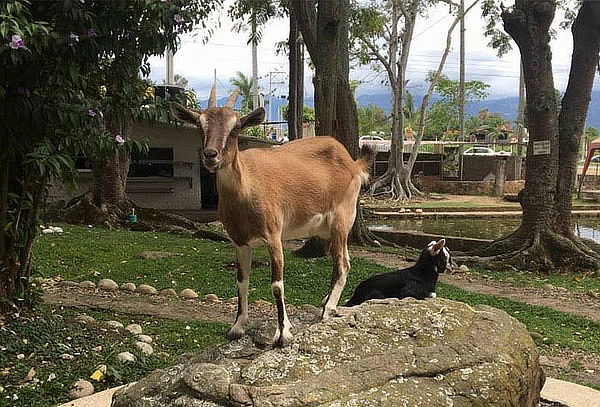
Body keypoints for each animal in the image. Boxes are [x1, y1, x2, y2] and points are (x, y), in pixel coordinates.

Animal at [170, 90, 376, 348]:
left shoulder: (273, 236)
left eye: (236, 127)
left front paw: (282, 334)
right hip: (327, 229)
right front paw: (237, 327)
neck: (246, 187)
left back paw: (328, 309)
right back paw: (325, 301)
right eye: (200, 124)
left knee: (342, 264)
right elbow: (241, 281)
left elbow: (277, 285)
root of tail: (353, 163)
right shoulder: (239, 241)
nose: (210, 155)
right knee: (344, 259)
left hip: (342, 217)